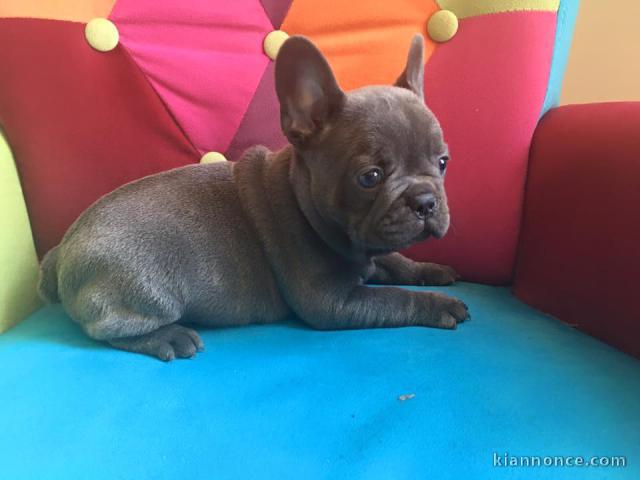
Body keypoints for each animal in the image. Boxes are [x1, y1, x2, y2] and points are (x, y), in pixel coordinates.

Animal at [38, 33, 470, 360]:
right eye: (370, 177)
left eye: (443, 162)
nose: (426, 201)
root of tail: (62, 251)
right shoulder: (333, 301)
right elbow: (394, 298)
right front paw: (440, 305)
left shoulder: (370, 254)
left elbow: (396, 263)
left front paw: (431, 269)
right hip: (145, 291)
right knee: (107, 329)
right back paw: (168, 337)